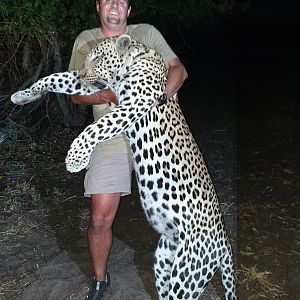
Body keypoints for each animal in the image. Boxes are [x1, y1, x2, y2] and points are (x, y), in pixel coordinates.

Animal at [11, 34, 237, 298]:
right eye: (86, 58)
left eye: (98, 57)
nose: (82, 72)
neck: (134, 60)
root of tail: (224, 241)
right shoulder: (94, 86)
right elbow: (56, 77)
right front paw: (23, 95)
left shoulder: (134, 103)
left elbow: (97, 126)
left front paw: (76, 157)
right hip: (164, 258)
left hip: (188, 274)